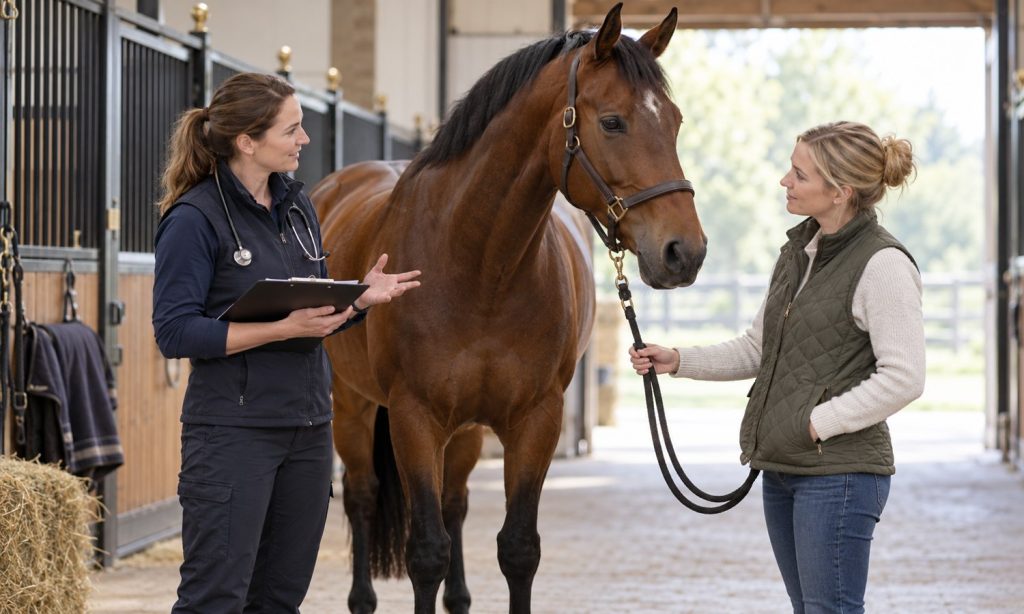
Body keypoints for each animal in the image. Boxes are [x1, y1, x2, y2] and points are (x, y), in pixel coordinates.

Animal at [310, 4, 705, 612]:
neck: (479, 269)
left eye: (676, 122)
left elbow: (518, 548)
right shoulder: (413, 416)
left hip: (465, 432)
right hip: (352, 406)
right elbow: (426, 552)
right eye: (613, 122)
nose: (685, 252)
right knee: (362, 497)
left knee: (455, 503)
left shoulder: (536, 419)